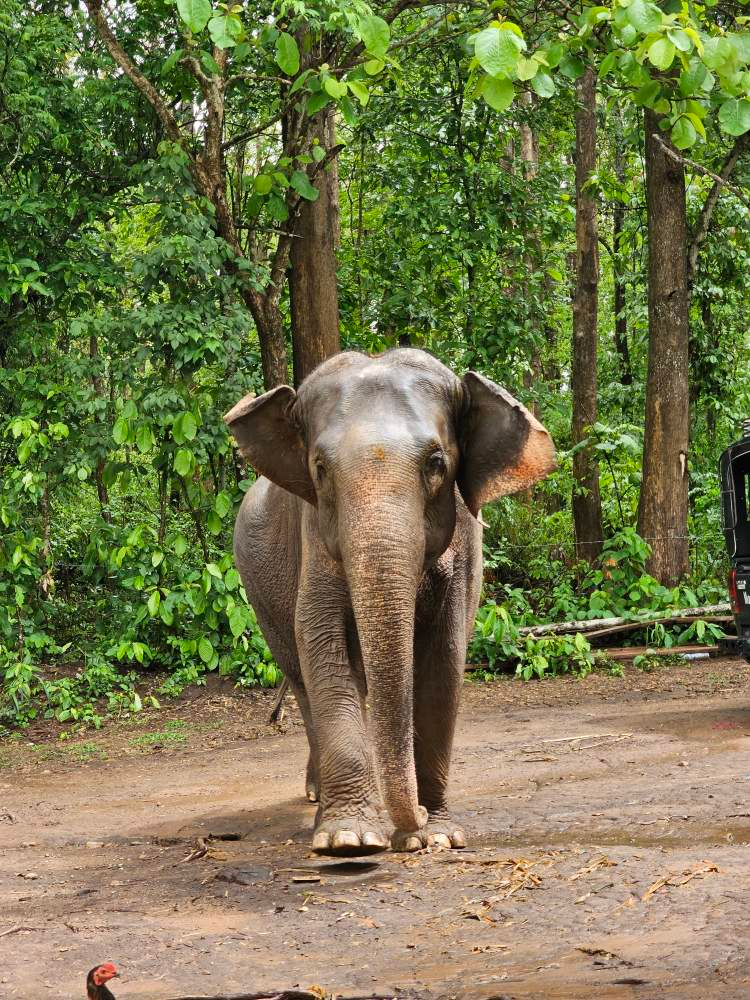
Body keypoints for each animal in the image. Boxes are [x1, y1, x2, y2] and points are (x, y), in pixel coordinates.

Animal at [224, 348, 554, 855]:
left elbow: (445, 659)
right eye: (320, 469)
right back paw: (320, 804)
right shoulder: (314, 536)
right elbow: (320, 640)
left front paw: (439, 835)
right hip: (257, 587)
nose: (413, 821)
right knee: (301, 678)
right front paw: (349, 840)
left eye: (436, 462)